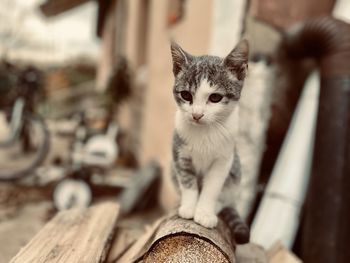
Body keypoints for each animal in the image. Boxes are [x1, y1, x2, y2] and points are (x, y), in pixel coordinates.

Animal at [171, 39, 250, 245]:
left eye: (215, 97)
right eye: (186, 95)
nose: (196, 115)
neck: (205, 131)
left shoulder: (224, 159)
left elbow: (212, 186)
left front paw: (205, 212)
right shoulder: (179, 152)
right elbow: (187, 180)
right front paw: (189, 207)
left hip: (236, 170)